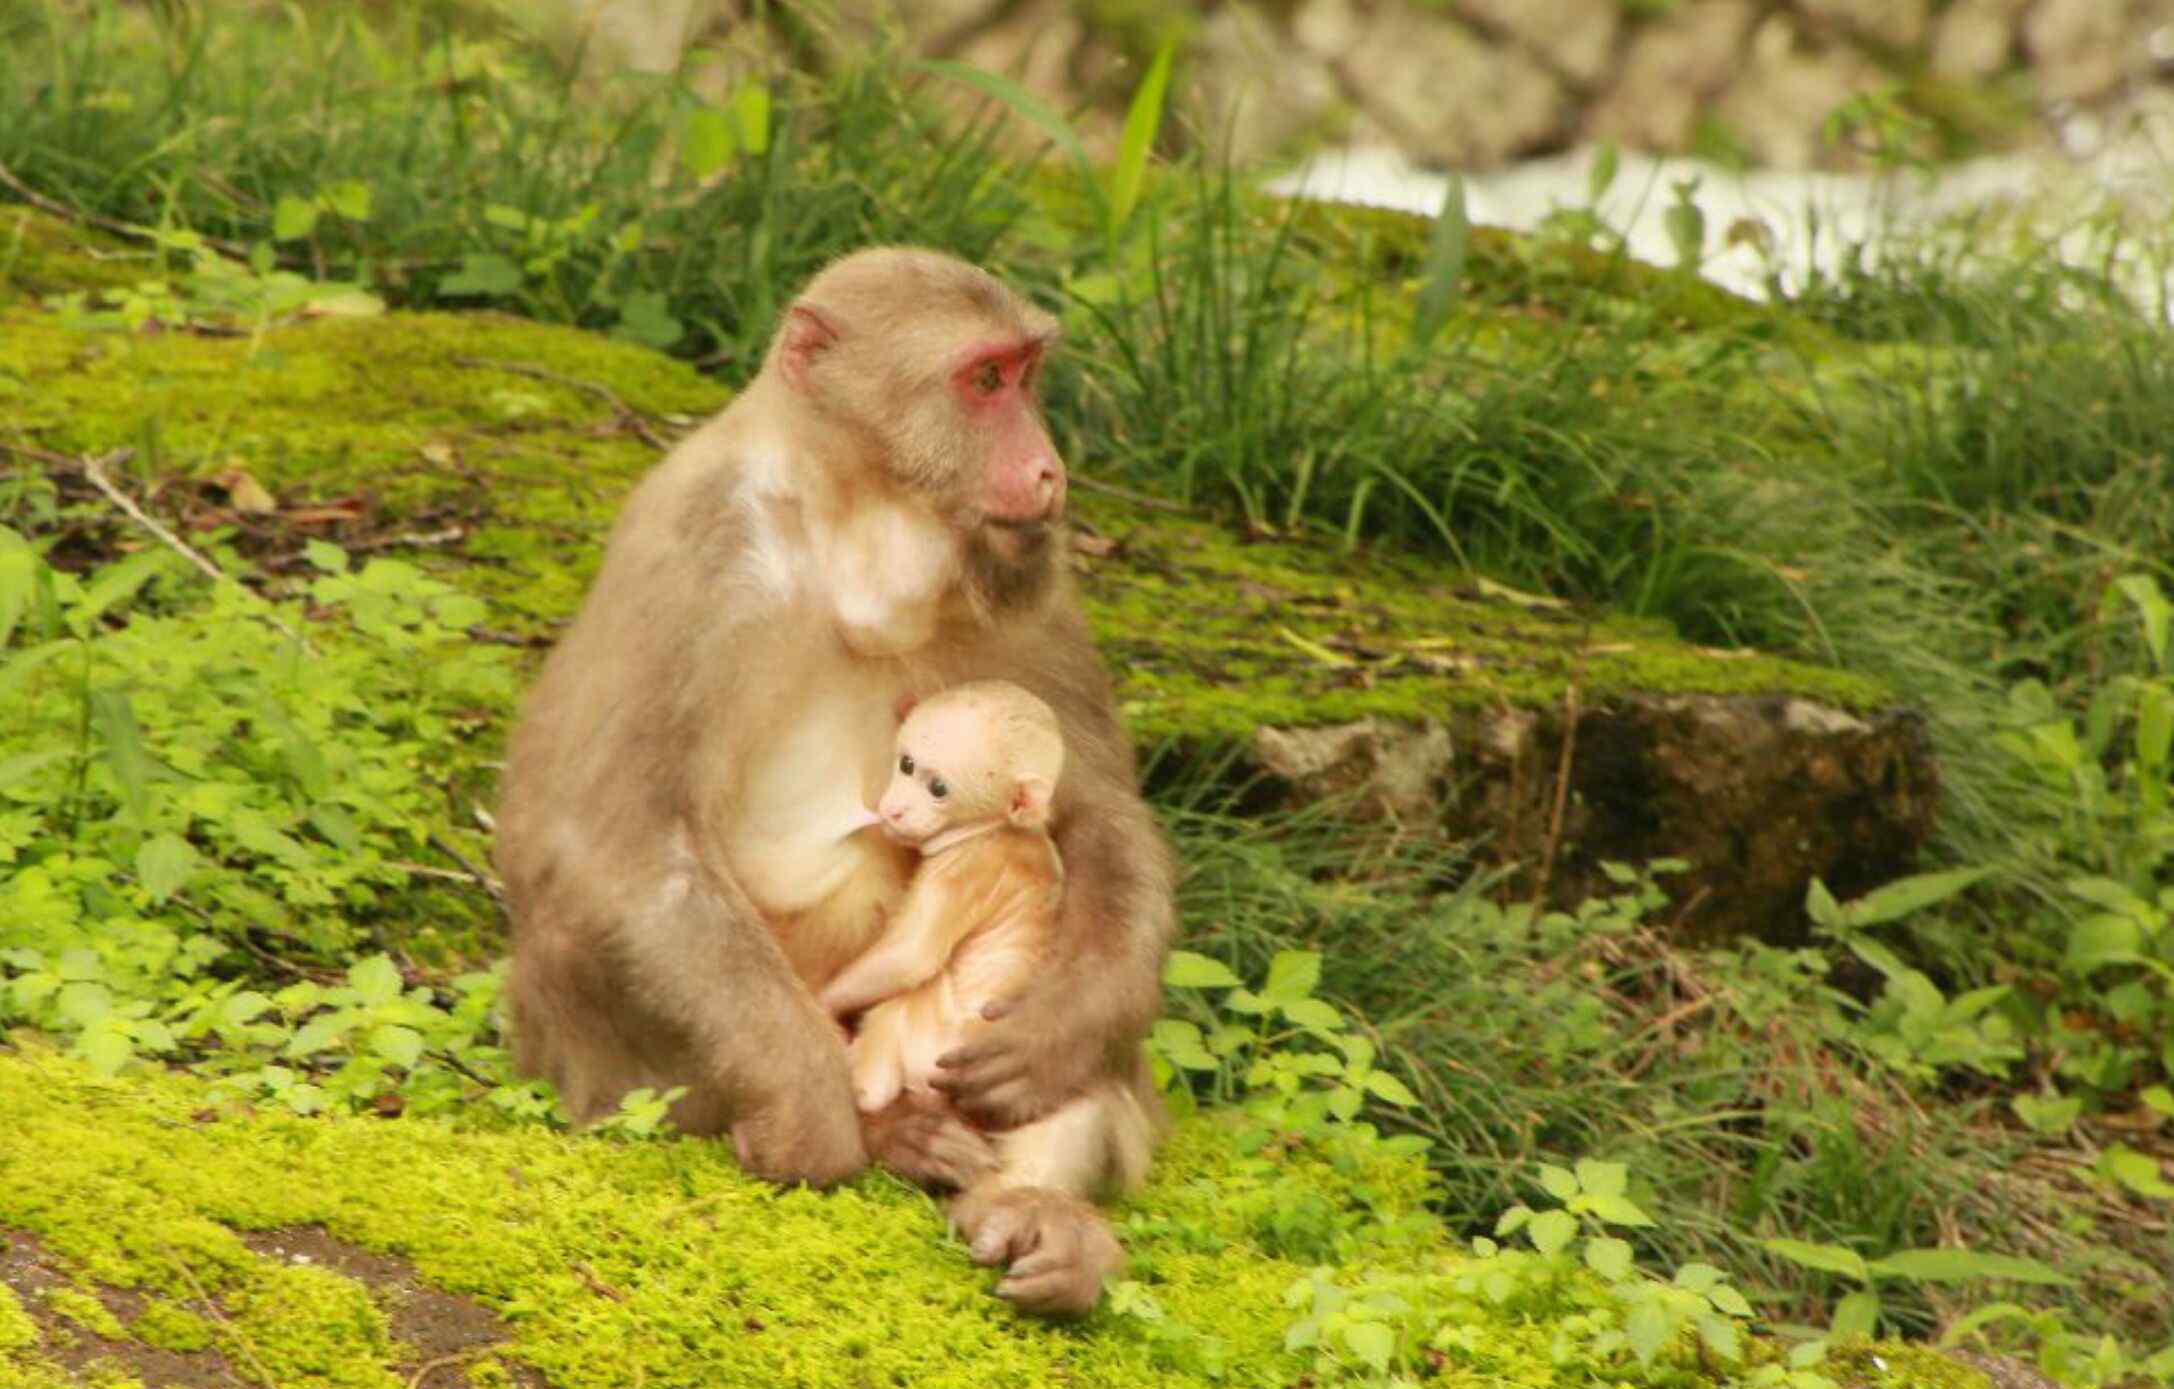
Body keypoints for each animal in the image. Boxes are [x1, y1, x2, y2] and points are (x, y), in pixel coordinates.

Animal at [821, 678, 1069, 1112]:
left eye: (938, 789)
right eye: (906, 764)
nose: (896, 810)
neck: (992, 828)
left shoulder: (962, 869)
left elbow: (912, 956)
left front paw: (821, 1003)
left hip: (928, 1042)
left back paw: (865, 1084)